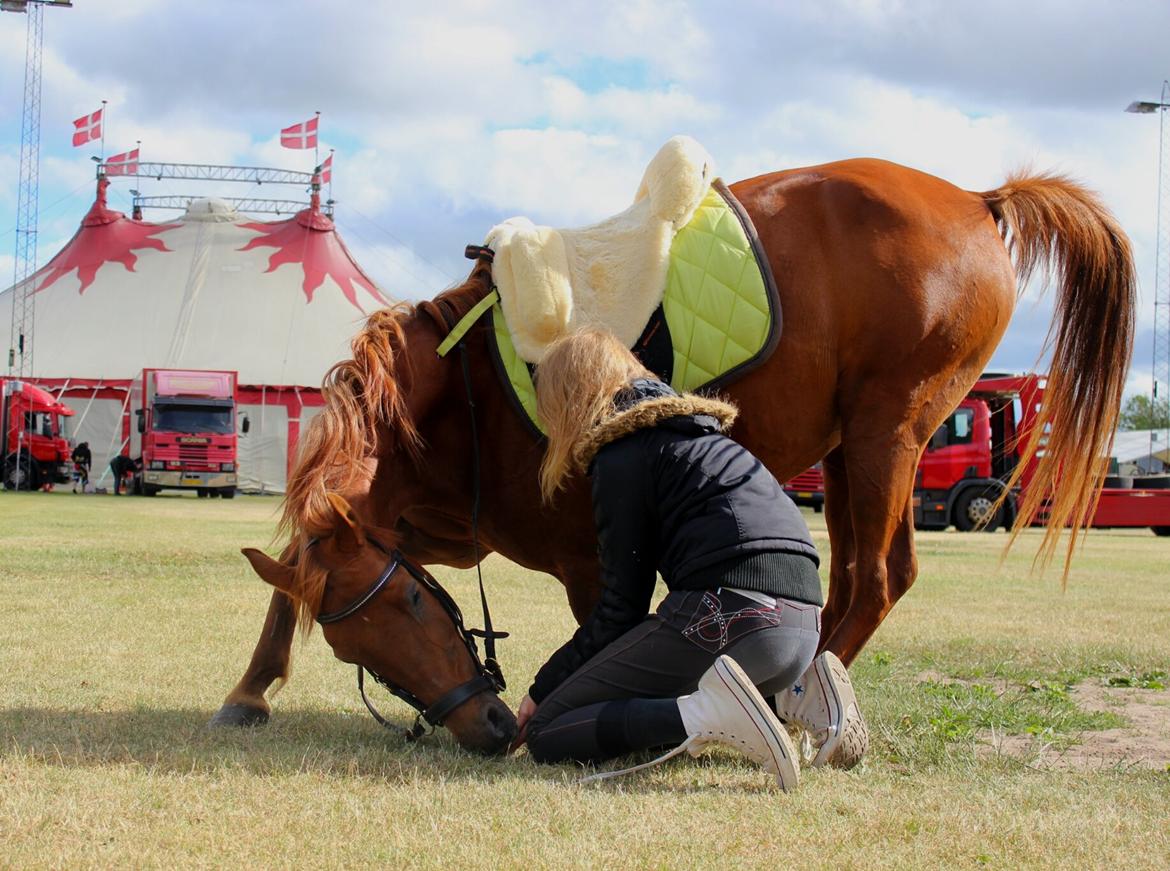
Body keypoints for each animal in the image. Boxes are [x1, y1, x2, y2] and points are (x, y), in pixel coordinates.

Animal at [212, 156, 1132, 739]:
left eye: (412, 604)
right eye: (357, 652)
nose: (487, 725)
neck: (458, 397)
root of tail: (978, 197)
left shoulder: (587, 556)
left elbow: (600, 633)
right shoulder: (424, 524)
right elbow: (290, 571)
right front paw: (249, 689)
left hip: (888, 433)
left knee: (876, 578)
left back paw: (802, 700)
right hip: (848, 450)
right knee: (856, 578)